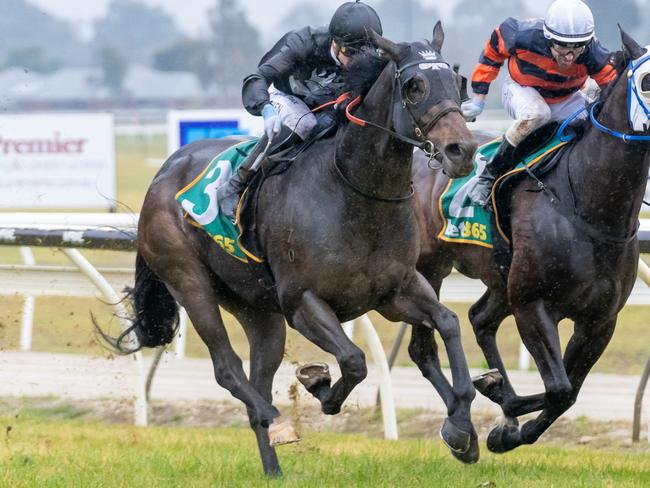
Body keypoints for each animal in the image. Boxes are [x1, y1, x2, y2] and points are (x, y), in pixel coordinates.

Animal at [101, 23, 476, 476]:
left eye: (457, 80)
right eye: (414, 85)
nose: (462, 150)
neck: (354, 189)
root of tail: (162, 174)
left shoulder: (395, 290)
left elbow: (448, 323)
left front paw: (461, 430)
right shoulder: (302, 302)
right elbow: (353, 360)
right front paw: (319, 384)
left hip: (257, 310)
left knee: (256, 381)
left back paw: (274, 469)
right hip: (189, 281)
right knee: (227, 368)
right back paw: (278, 422)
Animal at [410, 27, 648, 454]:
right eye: (648, 81)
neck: (589, 205)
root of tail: (428, 153)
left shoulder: (600, 321)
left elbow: (568, 393)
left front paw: (506, 426)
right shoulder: (533, 306)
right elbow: (559, 388)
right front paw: (498, 411)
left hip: (502, 279)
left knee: (480, 318)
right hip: (429, 268)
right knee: (424, 348)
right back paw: (462, 424)